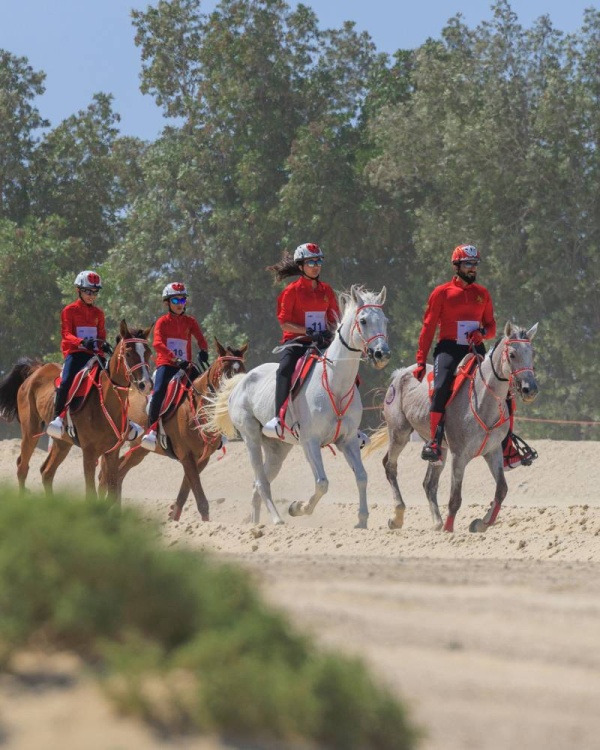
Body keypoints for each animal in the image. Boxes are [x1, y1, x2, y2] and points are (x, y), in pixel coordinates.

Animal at [0, 320, 152, 502]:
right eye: (128, 354)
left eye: (148, 353)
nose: (146, 384)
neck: (106, 402)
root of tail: (36, 370)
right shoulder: (89, 453)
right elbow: (91, 494)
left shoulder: (111, 453)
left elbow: (112, 491)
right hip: (31, 431)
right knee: (22, 467)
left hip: (62, 442)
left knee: (46, 472)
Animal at [105, 340, 248, 524]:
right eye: (226, 371)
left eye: (243, 369)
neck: (196, 407)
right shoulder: (187, 456)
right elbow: (200, 499)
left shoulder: (201, 459)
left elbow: (184, 491)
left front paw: (174, 515)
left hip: (139, 450)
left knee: (119, 472)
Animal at [206, 286, 392, 528]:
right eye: (363, 320)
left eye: (385, 321)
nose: (382, 354)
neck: (335, 383)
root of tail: (241, 381)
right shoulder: (310, 442)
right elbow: (322, 483)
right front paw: (298, 508)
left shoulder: (348, 440)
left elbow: (361, 476)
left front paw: (361, 521)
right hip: (251, 438)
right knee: (261, 481)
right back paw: (277, 519)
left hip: (277, 449)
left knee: (258, 484)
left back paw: (257, 524)